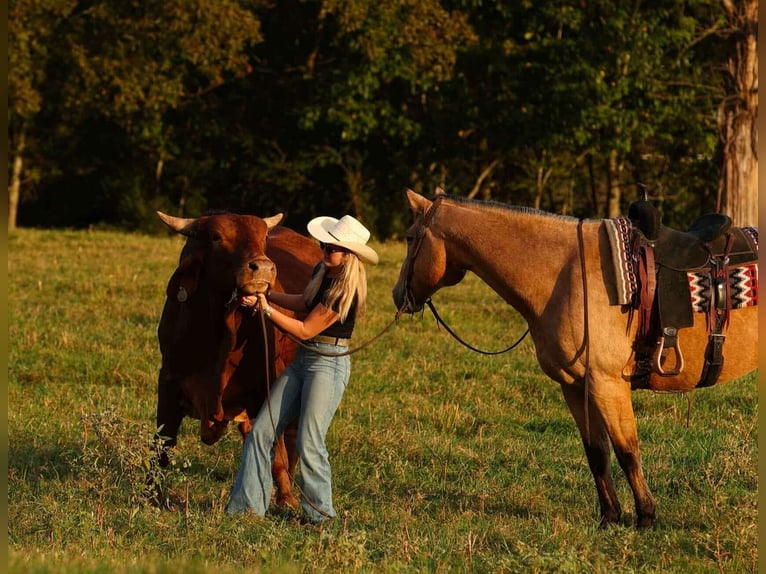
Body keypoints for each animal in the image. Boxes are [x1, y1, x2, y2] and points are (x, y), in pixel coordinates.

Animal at [392, 188, 758, 528]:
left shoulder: (607, 383)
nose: (397, 296)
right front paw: (610, 518)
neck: (564, 274)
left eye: (410, 237)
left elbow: (627, 451)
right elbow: (597, 453)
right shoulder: (574, 385)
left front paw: (646, 517)